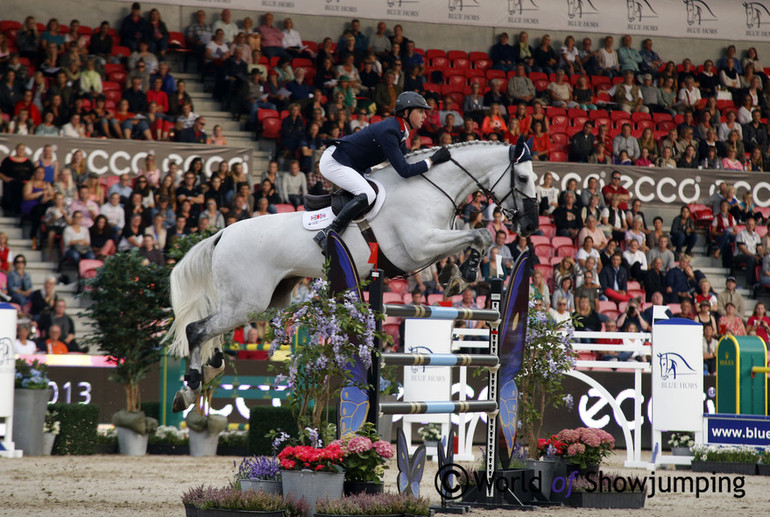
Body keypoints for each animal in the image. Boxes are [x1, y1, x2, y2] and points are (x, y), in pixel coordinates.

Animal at [166, 138, 540, 412]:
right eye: (523, 178)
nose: (531, 226)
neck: (429, 187)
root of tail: (222, 234)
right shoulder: (420, 246)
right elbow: (481, 234)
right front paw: (465, 273)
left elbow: (481, 236)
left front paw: (462, 273)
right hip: (248, 302)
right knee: (196, 330)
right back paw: (189, 389)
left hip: (267, 301)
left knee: (214, 338)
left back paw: (206, 374)